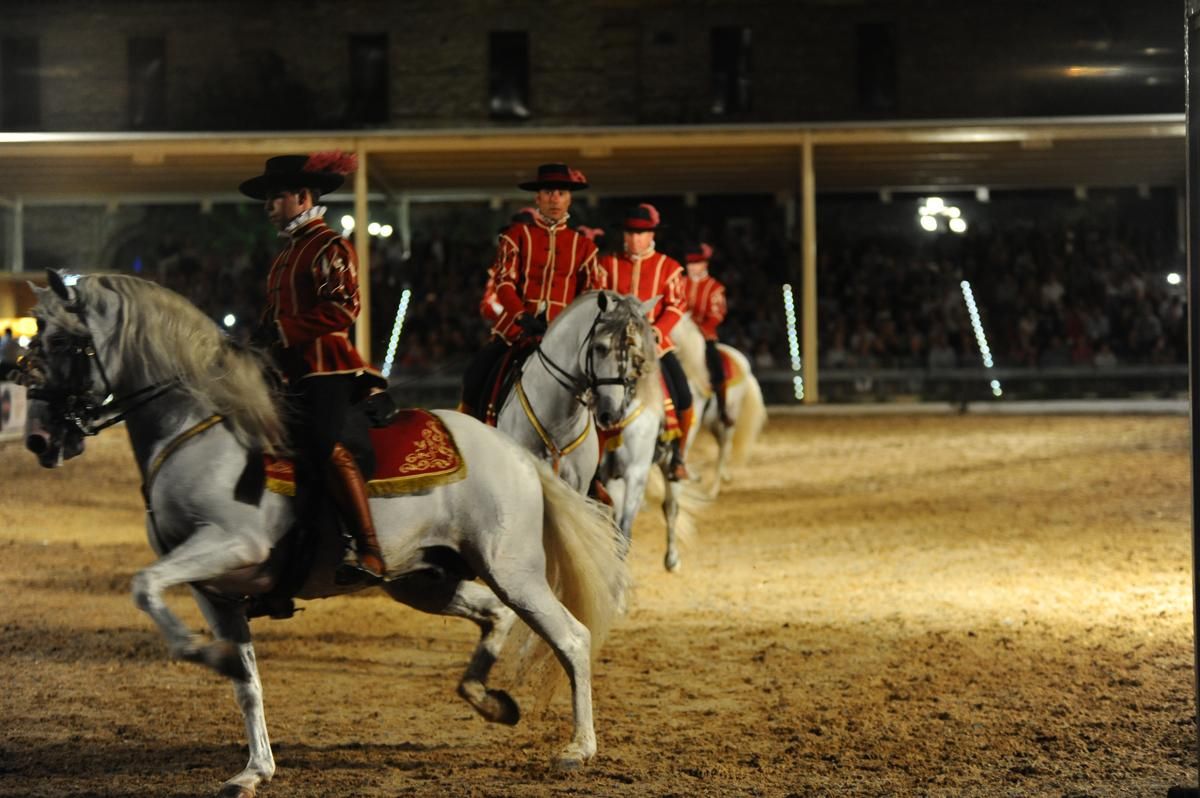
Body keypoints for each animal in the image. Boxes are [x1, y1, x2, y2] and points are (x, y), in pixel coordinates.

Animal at [21, 271, 628, 792]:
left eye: (63, 341)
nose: (38, 440)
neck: (195, 430)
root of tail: (519, 456)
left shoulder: (232, 546)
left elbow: (145, 586)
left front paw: (206, 656)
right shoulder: (215, 590)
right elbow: (245, 681)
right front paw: (254, 768)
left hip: (512, 570)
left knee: (571, 637)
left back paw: (578, 748)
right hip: (423, 581)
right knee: (496, 616)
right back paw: (487, 699)